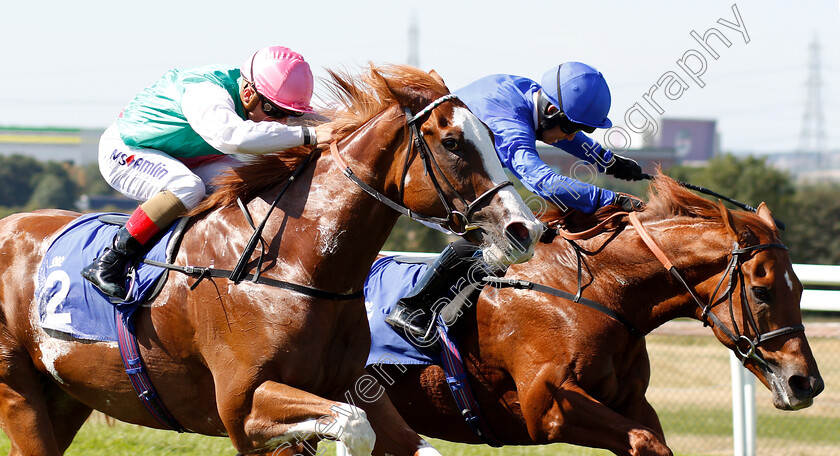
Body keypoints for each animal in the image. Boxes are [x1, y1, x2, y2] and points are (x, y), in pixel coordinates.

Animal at [0, 64, 544, 456]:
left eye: (492, 137)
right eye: (452, 143)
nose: (525, 230)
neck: (293, 269)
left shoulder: (354, 388)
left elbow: (390, 434)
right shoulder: (244, 407)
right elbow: (353, 429)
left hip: (66, 394)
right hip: (19, 391)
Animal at [374, 175, 820, 456]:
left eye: (800, 289)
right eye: (761, 291)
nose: (807, 384)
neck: (598, 291)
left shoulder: (631, 403)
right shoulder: (550, 409)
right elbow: (647, 442)